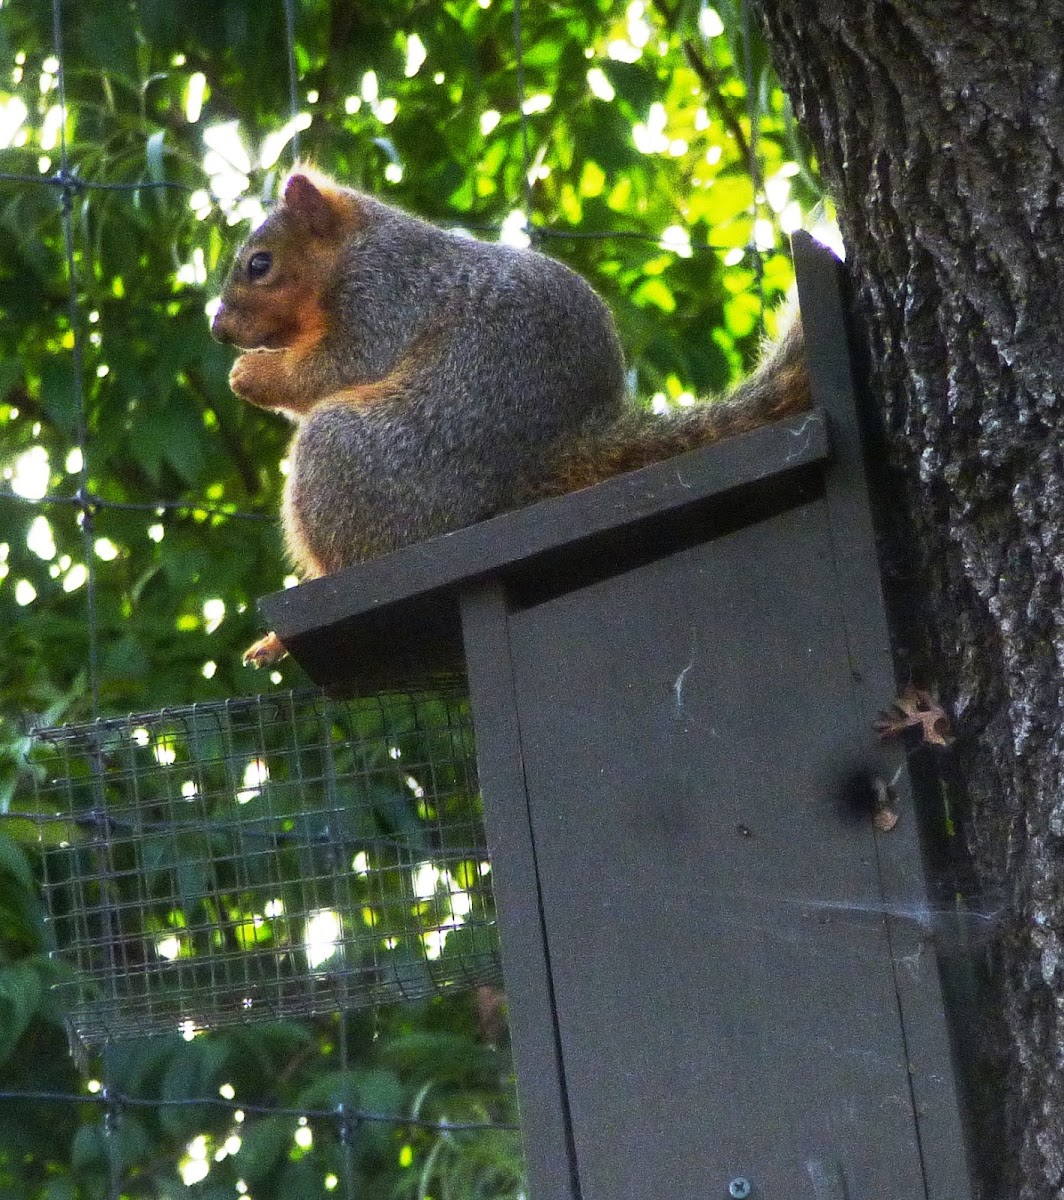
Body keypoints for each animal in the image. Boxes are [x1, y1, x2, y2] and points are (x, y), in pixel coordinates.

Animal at [212, 169, 810, 667]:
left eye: (260, 264)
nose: (219, 329)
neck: (357, 245)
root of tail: (550, 456)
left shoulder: (383, 300)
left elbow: (338, 368)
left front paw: (249, 375)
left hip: (356, 456)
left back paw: (283, 634)